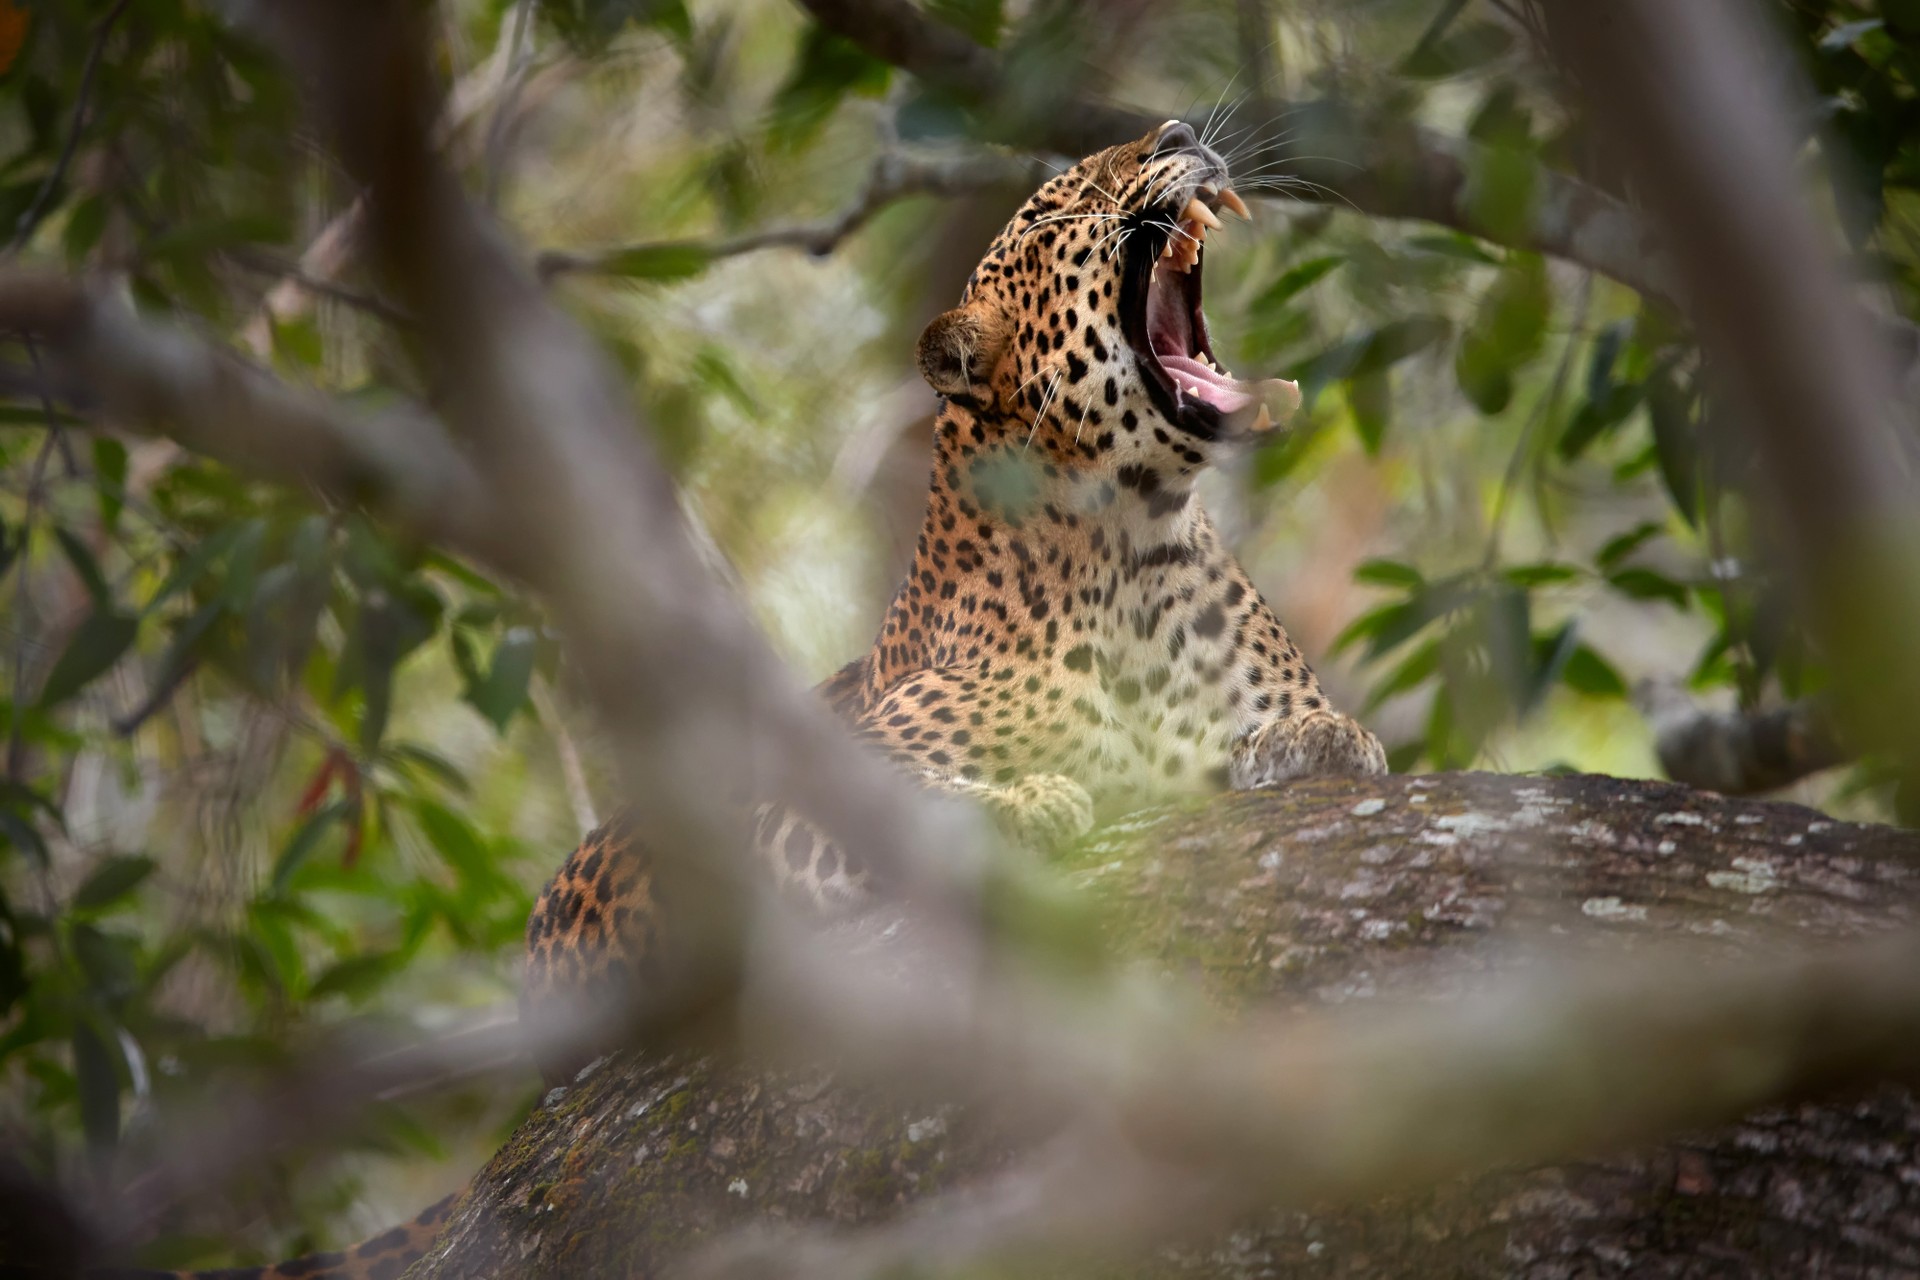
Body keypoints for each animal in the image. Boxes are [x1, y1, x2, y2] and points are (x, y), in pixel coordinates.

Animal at [120, 119, 1382, 1280]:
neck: (1136, 545)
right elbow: (920, 804)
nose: (1178, 130)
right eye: (1062, 202)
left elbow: (1277, 725)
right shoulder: (789, 815)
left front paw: (1324, 733)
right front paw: (1025, 804)